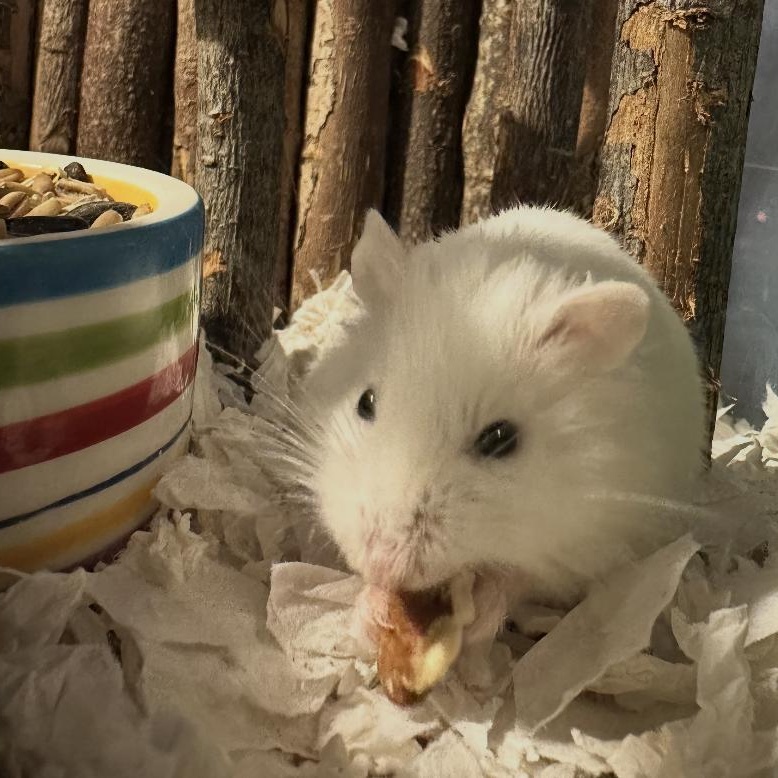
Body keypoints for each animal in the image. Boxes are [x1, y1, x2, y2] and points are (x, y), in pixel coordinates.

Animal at [288, 206, 706, 640]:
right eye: (365, 402)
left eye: (501, 440)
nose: (381, 561)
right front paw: (372, 610)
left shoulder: (580, 542)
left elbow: (513, 581)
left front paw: (474, 625)